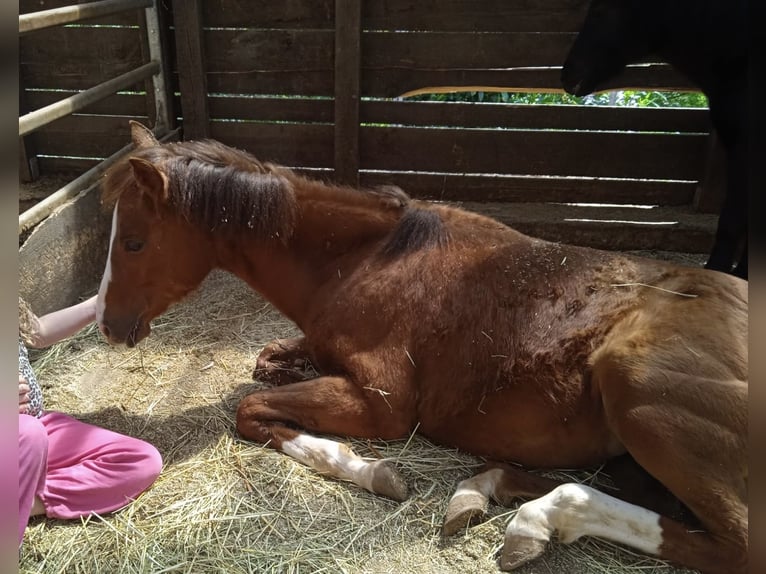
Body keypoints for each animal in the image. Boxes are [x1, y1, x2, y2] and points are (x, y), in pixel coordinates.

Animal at [96, 122, 752, 574]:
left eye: (133, 242)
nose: (106, 323)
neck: (369, 262)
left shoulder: (382, 405)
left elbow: (251, 409)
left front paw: (372, 470)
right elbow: (264, 369)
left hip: (637, 387)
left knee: (738, 542)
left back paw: (539, 516)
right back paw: (486, 493)